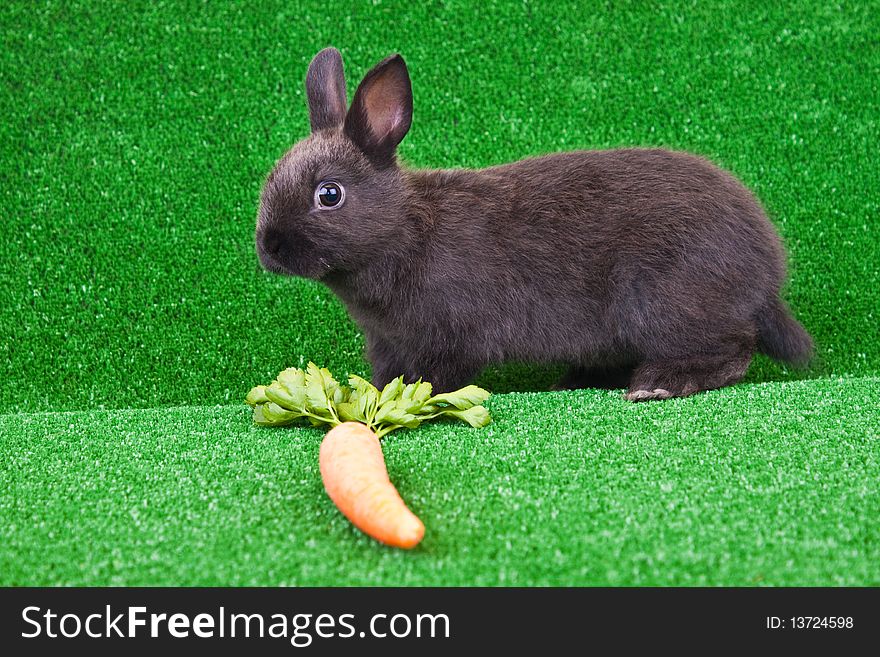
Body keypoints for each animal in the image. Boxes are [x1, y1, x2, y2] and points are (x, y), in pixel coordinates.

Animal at [253, 47, 812, 400]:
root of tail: (767, 275)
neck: (406, 233)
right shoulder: (386, 343)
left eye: (329, 194)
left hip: (665, 304)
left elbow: (437, 377)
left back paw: (657, 384)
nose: (268, 247)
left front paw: (412, 399)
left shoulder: (448, 337)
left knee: (733, 349)